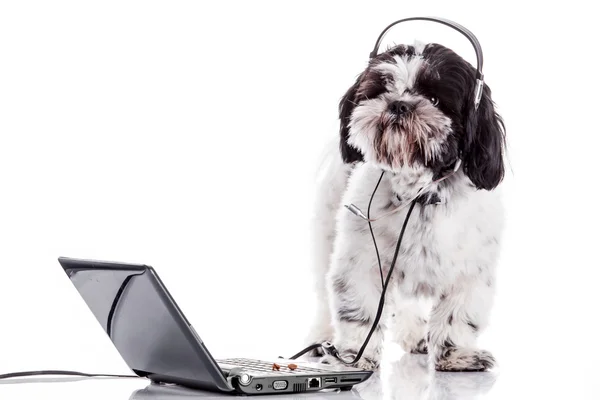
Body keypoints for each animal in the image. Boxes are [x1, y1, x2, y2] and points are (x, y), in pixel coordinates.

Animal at [308, 41, 504, 372]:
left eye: (434, 99)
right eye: (382, 89)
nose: (399, 104)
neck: (419, 196)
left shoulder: (470, 272)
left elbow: (457, 316)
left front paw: (457, 355)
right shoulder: (360, 263)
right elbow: (359, 310)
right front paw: (354, 356)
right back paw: (321, 340)